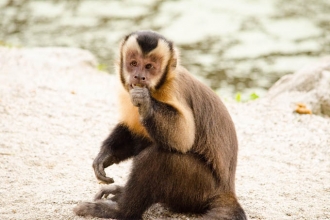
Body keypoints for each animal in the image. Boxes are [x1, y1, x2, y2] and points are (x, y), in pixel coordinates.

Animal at [73, 30, 246, 219]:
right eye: (134, 63)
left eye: (149, 66)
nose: (139, 76)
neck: (157, 88)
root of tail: (227, 191)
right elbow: (134, 132)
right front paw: (106, 155)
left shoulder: (173, 90)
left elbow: (182, 138)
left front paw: (146, 103)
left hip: (200, 190)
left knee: (159, 158)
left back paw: (120, 210)